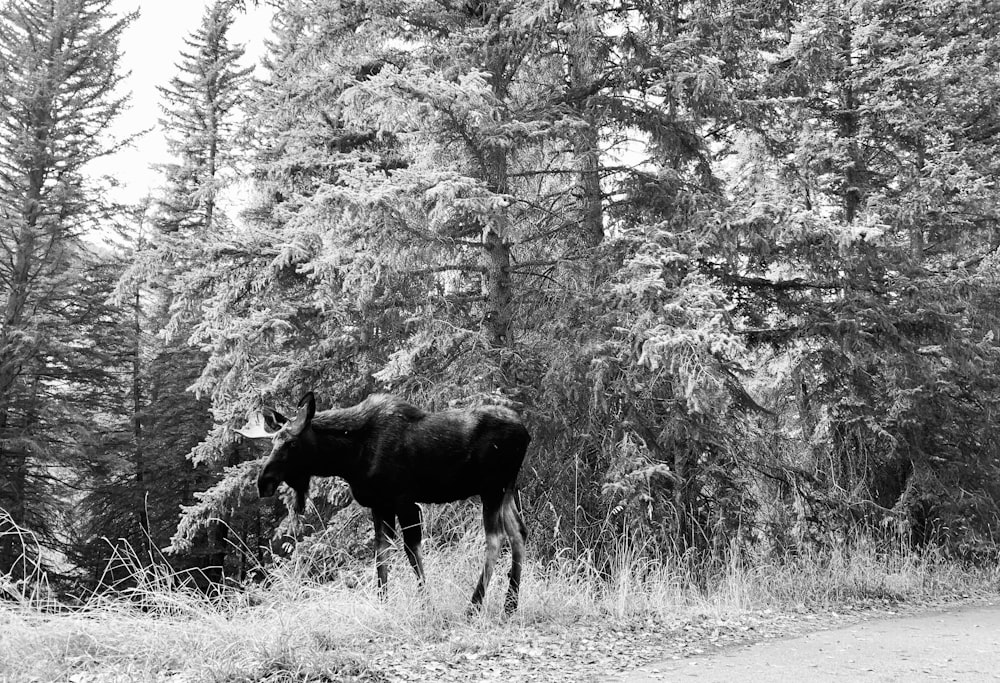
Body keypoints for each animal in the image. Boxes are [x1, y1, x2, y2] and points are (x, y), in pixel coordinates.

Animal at [237, 396, 532, 616]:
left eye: (292, 443)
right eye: (273, 442)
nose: (264, 482)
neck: (349, 458)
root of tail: (526, 434)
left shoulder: (404, 501)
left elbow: (412, 553)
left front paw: (426, 605)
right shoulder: (380, 505)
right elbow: (381, 553)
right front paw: (383, 602)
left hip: (492, 488)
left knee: (495, 538)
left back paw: (474, 605)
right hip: (506, 489)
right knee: (519, 533)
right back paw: (510, 605)